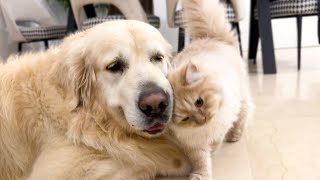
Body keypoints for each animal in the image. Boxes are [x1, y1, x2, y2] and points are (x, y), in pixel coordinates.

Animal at [168, 0, 255, 179]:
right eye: (185, 118)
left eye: (199, 102)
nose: (202, 119)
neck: (206, 129)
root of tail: (212, 37)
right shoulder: (192, 144)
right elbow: (201, 161)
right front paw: (200, 175)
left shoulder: (222, 124)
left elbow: (216, 141)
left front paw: (214, 149)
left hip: (241, 99)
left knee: (244, 115)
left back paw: (235, 136)